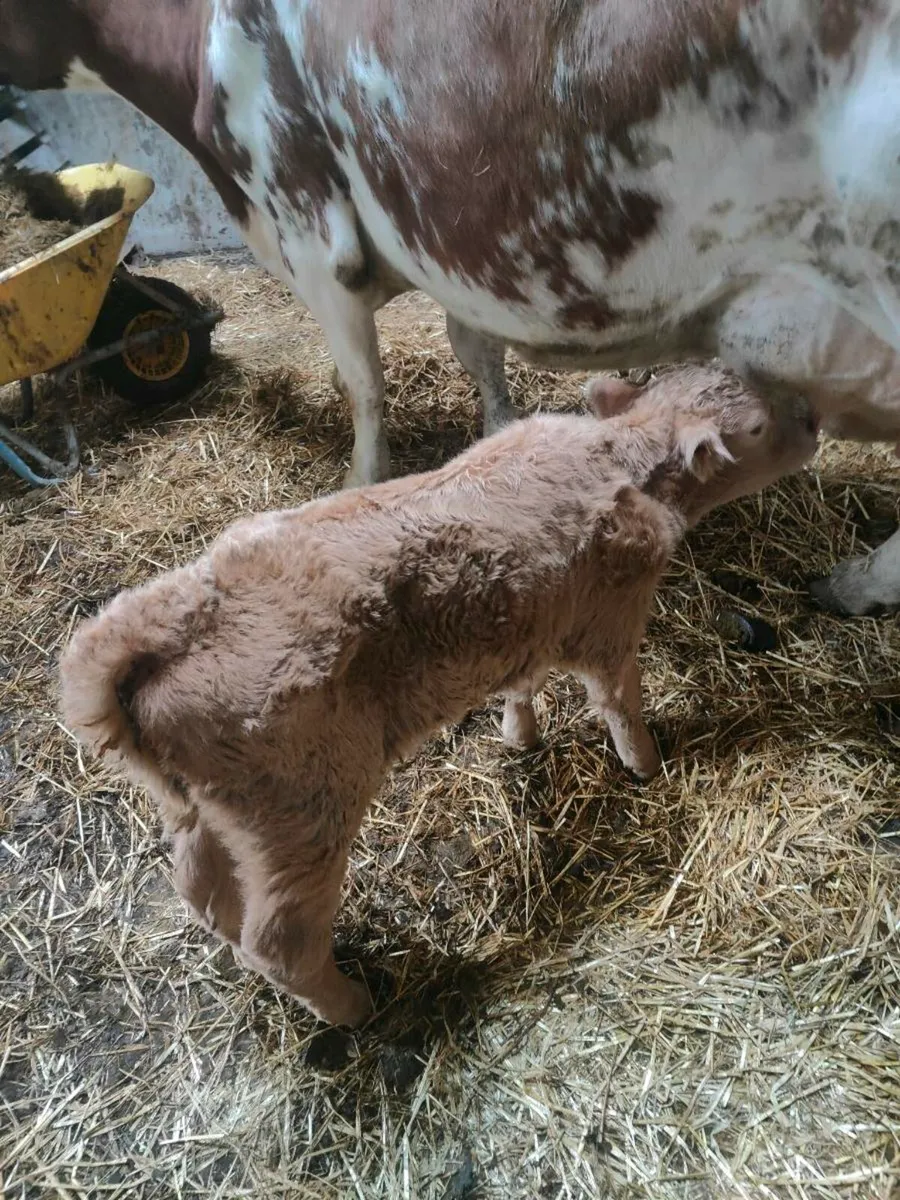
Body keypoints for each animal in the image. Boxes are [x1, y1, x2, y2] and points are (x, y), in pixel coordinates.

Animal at [0, 0, 898, 613]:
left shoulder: (311, 232)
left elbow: (364, 389)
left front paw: (356, 484)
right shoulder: (454, 254)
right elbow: (477, 352)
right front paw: (499, 440)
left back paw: (855, 582)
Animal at [58, 364, 819, 1026]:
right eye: (756, 427)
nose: (815, 425)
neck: (614, 458)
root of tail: (159, 625)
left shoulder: (532, 616)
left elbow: (522, 682)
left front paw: (521, 736)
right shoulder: (610, 628)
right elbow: (620, 704)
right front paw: (646, 765)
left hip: (201, 811)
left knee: (205, 895)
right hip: (303, 809)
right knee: (280, 942)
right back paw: (353, 1007)